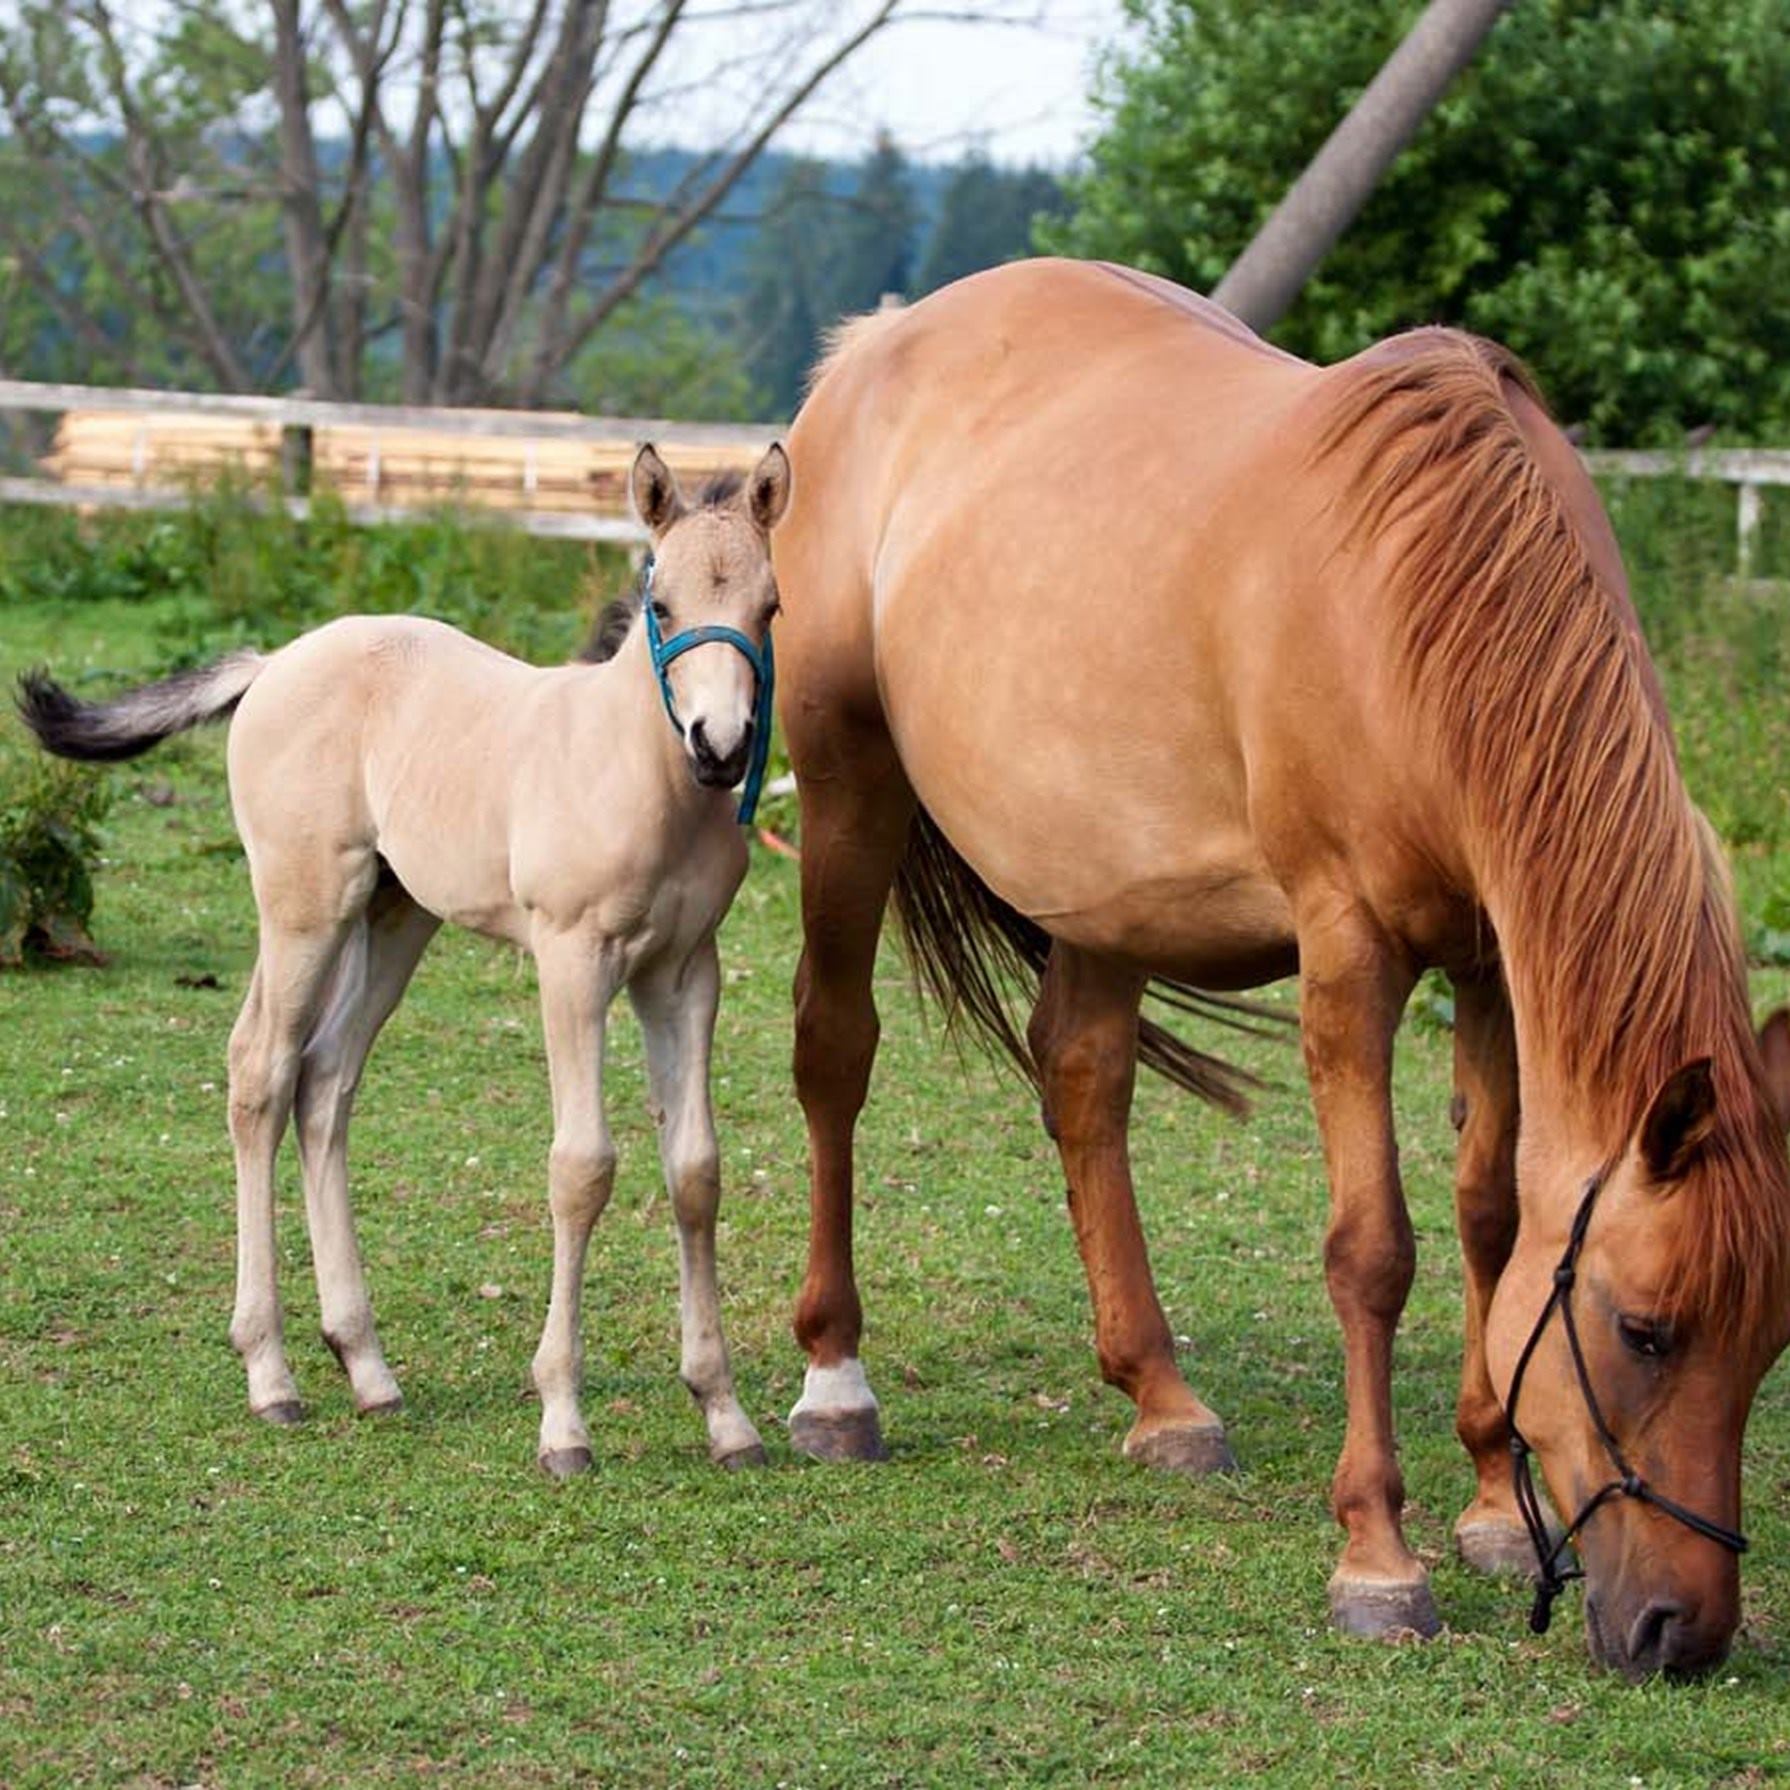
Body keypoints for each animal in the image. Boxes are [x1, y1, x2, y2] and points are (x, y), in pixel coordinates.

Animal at [19, 447, 791, 1482]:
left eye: (769, 606)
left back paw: (366, 1367)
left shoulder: (684, 974)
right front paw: (563, 1422)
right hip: (305, 908)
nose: (721, 747)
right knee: (260, 1072)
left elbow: (697, 1172)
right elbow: (581, 1167)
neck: (636, 775)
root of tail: (273, 664)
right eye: (661, 604)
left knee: (325, 1082)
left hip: (395, 919)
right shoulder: (573, 962)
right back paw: (271, 1373)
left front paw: (726, 1416)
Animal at [776, 259, 1790, 1668]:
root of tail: (869, 349)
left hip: (1103, 879)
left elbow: (1489, 1217)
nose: (1678, 1630)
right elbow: (1373, 1249)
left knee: (1081, 1076)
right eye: (1642, 1329)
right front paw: (1377, 1554)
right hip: (844, 787)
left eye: (1766, 1342)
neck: (1423, 601)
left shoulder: (1487, 956)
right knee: (835, 1050)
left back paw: (1161, 1396)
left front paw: (1491, 1501)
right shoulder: (1347, 948)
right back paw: (834, 1381)